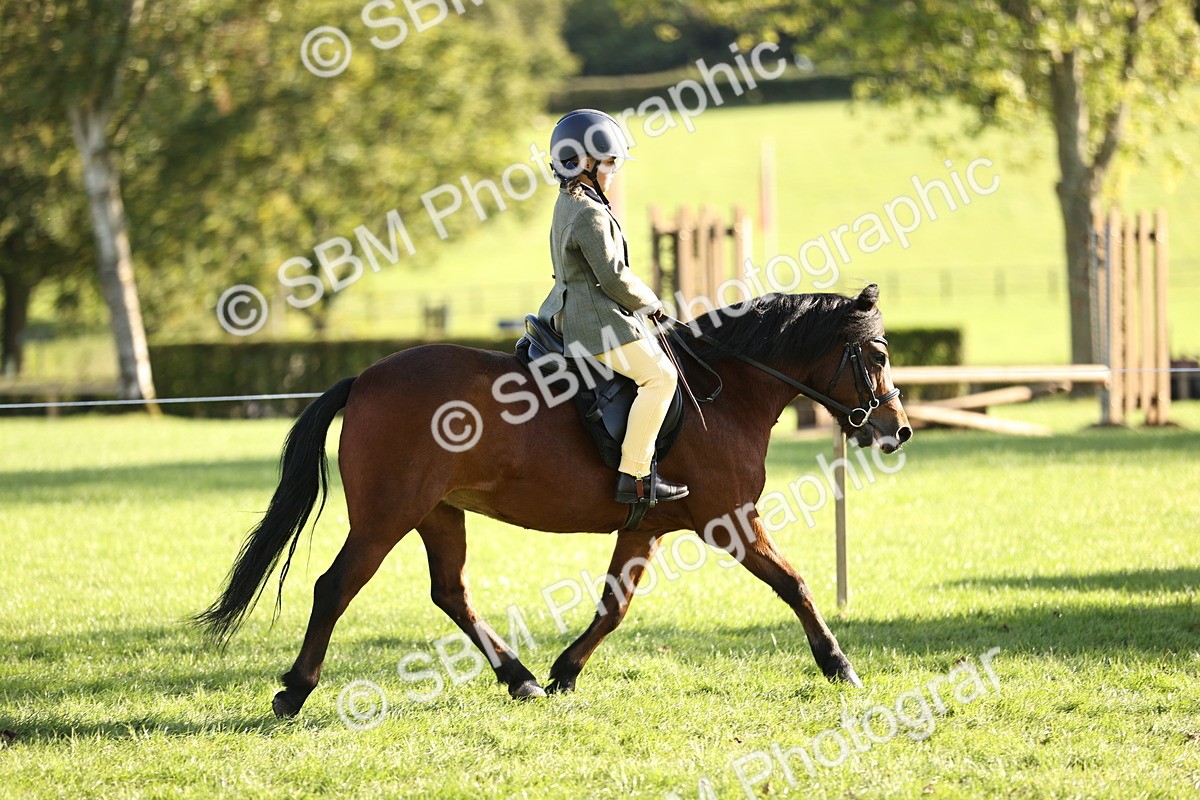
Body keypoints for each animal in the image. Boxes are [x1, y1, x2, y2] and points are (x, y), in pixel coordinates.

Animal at [195, 284, 911, 718]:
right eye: (875, 354)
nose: (897, 429)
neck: (726, 390)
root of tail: (365, 376)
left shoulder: (646, 526)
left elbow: (614, 606)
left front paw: (565, 671)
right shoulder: (729, 520)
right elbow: (795, 584)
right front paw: (839, 664)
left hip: (438, 513)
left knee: (450, 592)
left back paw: (520, 677)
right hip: (385, 517)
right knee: (334, 586)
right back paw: (294, 690)